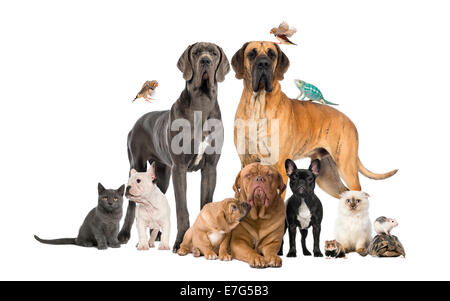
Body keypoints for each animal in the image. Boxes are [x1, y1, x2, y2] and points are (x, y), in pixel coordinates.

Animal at [118, 41, 230, 250]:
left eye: (213, 53)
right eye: (196, 53)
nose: (205, 61)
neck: (201, 105)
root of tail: (135, 123)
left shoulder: (210, 168)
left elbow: (206, 203)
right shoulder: (180, 168)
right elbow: (181, 208)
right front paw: (180, 242)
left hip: (162, 174)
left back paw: (158, 235)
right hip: (136, 163)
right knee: (131, 204)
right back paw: (124, 234)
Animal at [232, 41, 398, 198]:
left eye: (272, 55)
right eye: (251, 54)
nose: (263, 64)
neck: (257, 103)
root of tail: (350, 121)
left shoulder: (279, 166)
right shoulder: (246, 162)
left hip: (347, 168)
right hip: (327, 177)